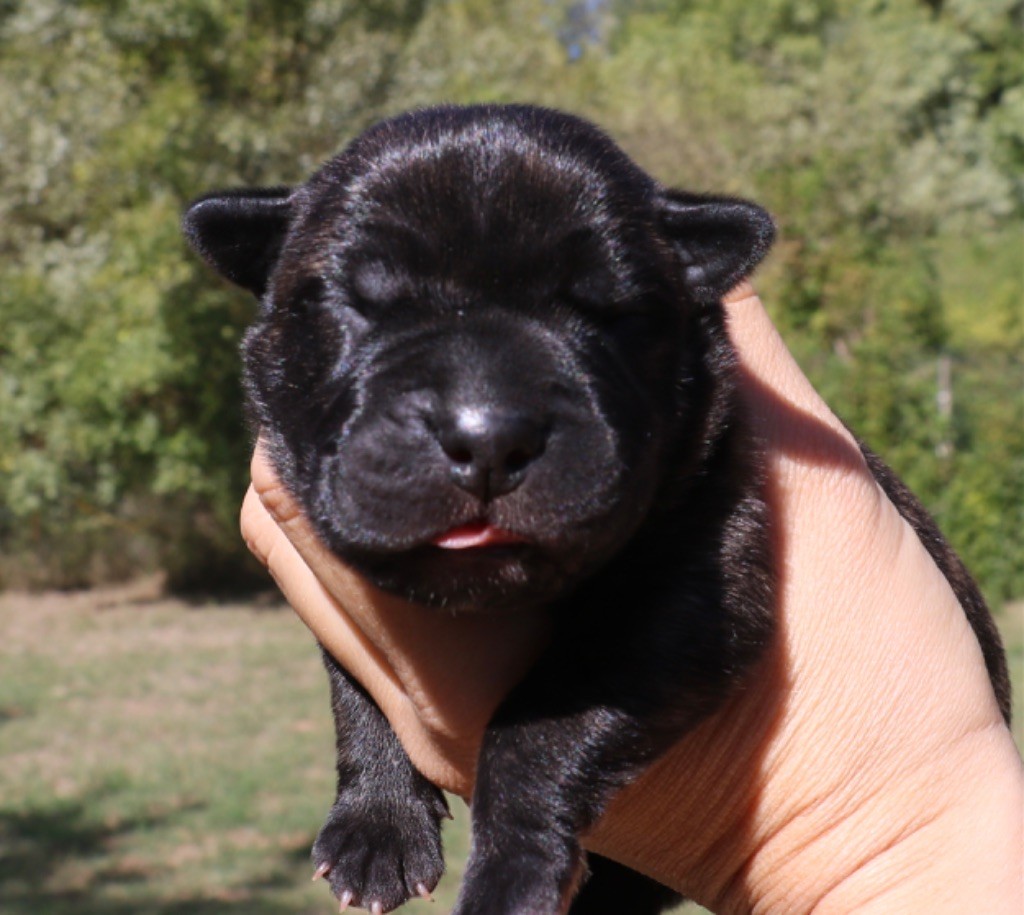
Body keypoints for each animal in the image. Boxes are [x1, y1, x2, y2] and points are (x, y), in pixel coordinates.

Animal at [184, 103, 1007, 912]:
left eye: (608, 314)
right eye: (356, 306)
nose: (489, 435)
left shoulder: (690, 596)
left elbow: (540, 728)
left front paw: (509, 872)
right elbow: (354, 683)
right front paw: (377, 819)